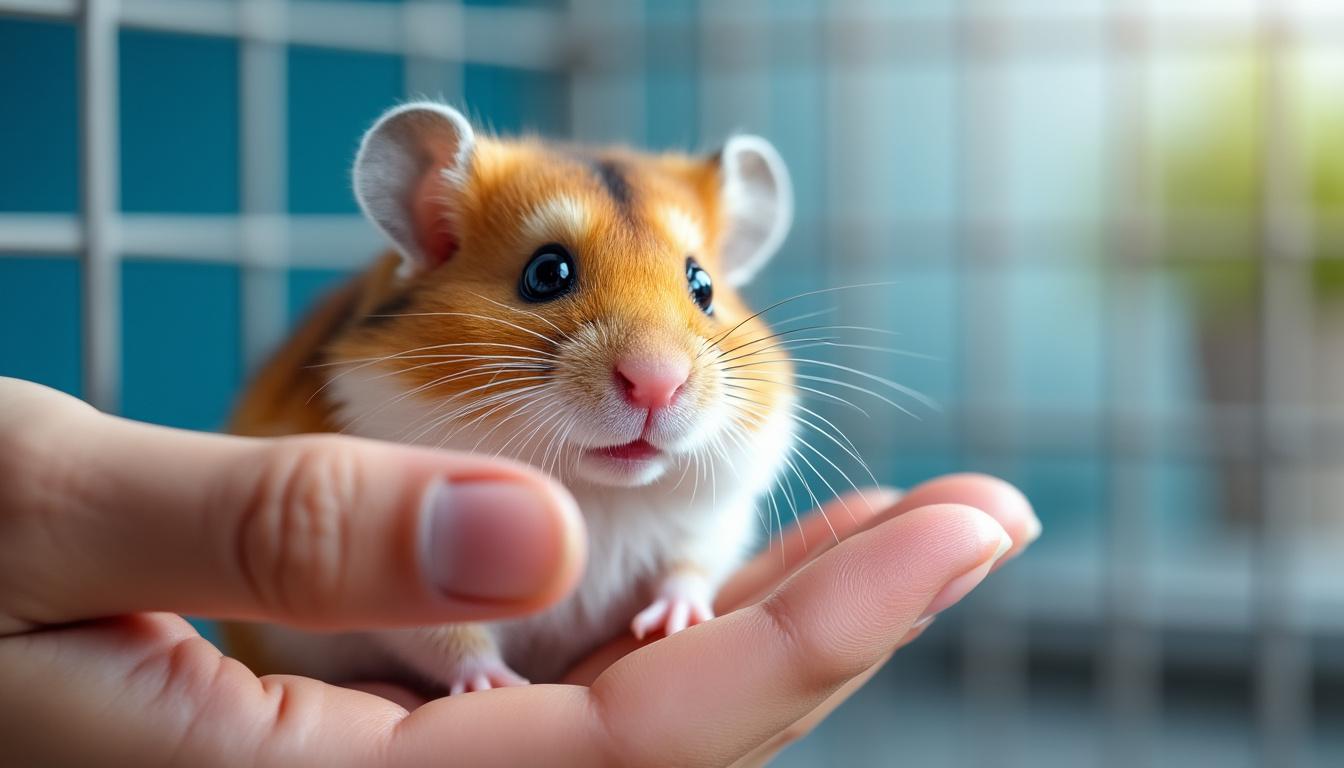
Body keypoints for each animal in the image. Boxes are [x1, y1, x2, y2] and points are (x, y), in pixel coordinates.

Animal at [225, 102, 797, 692]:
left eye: (702, 285)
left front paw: (672, 624)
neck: (593, 492)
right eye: (547, 273)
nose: (657, 381)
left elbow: (689, 571)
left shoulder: (713, 524)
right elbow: (452, 641)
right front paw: (499, 685)